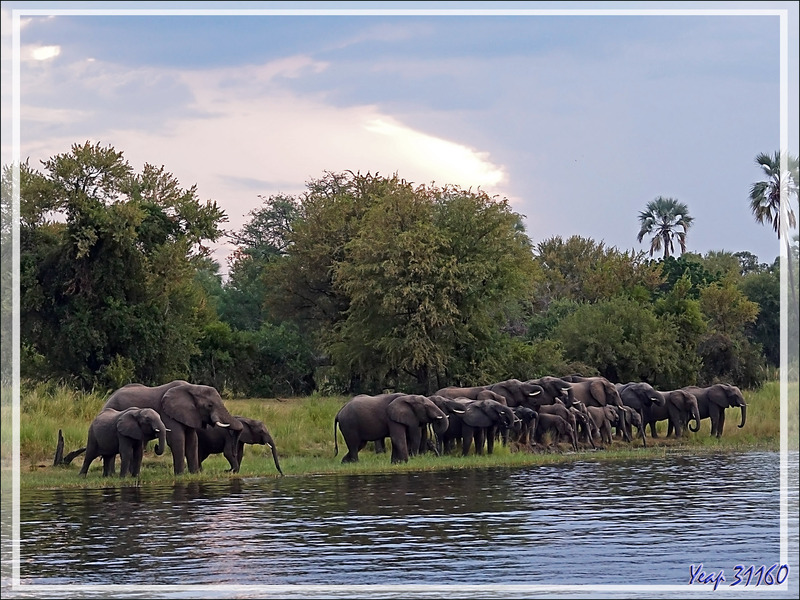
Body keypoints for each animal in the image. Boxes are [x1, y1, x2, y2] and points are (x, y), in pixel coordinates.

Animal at [101, 382, 242, 476]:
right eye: (209, 405)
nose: (228, 470)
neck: (192, 387)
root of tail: (109, 397)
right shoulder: (168, 413)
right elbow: (177, 439)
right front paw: (180, 475)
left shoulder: (189, 415)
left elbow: (192, 440)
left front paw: (194, 474)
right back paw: (113, 475)